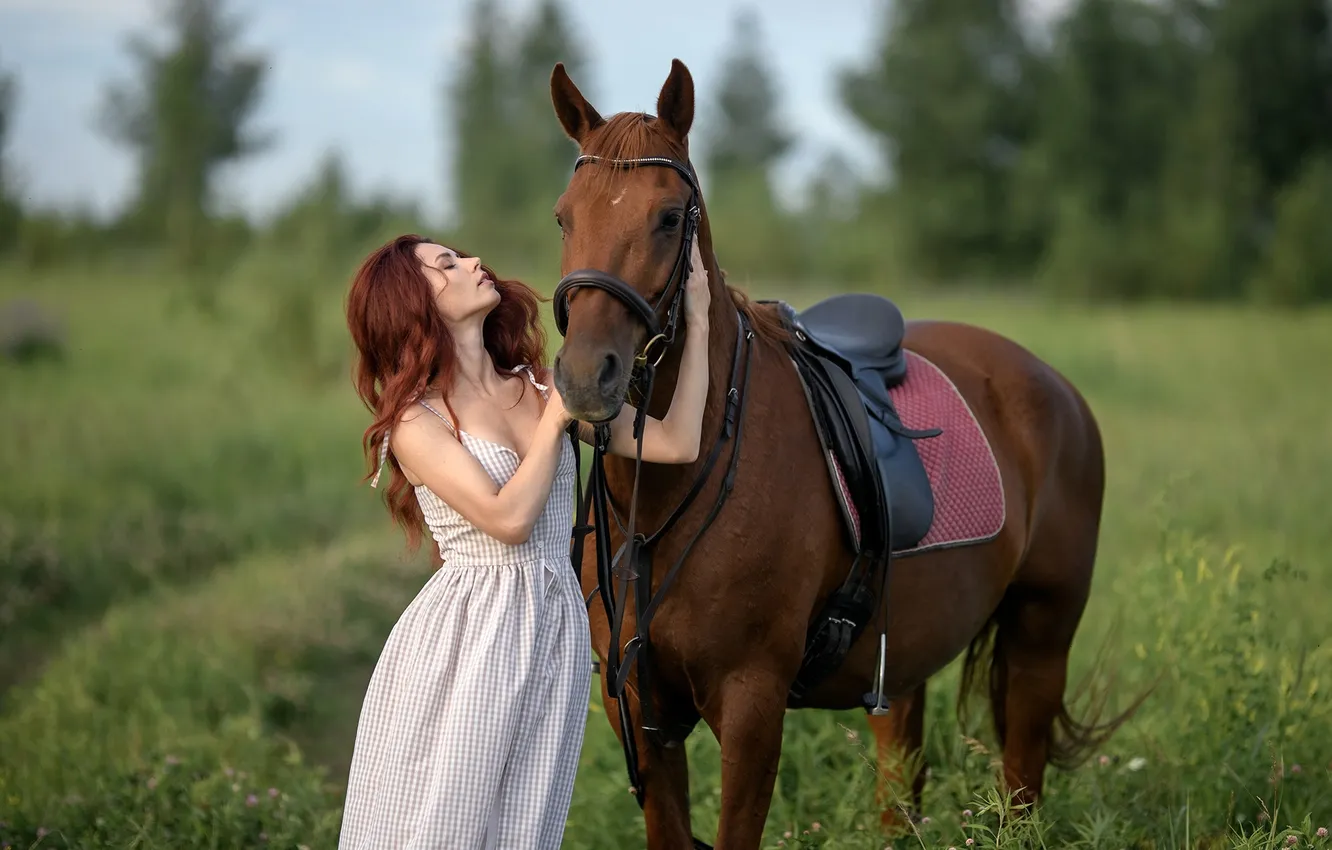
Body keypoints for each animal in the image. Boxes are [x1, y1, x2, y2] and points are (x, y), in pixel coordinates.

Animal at [546, 58, 1141, 850]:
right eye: (564, 217)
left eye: (669, 218)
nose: (587, 376)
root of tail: (1052, 384)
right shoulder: (640, 710)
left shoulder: (752, 702)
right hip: (904, 663)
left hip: (1041, 639)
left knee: (1022, 790)